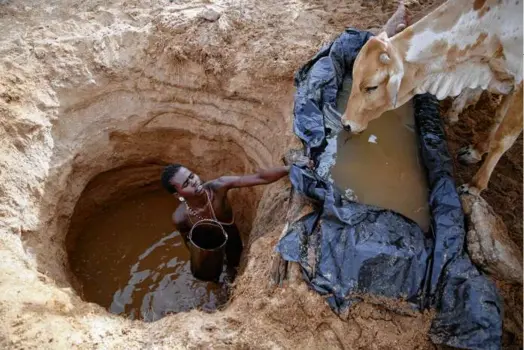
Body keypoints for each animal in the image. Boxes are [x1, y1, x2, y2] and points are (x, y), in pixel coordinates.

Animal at [342, 0, 520, 197]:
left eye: (371, 87)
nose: (346, 124)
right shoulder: (505, 76)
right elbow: (498, 118)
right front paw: (477, 150)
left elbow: (501, 139)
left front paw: (475, 184)